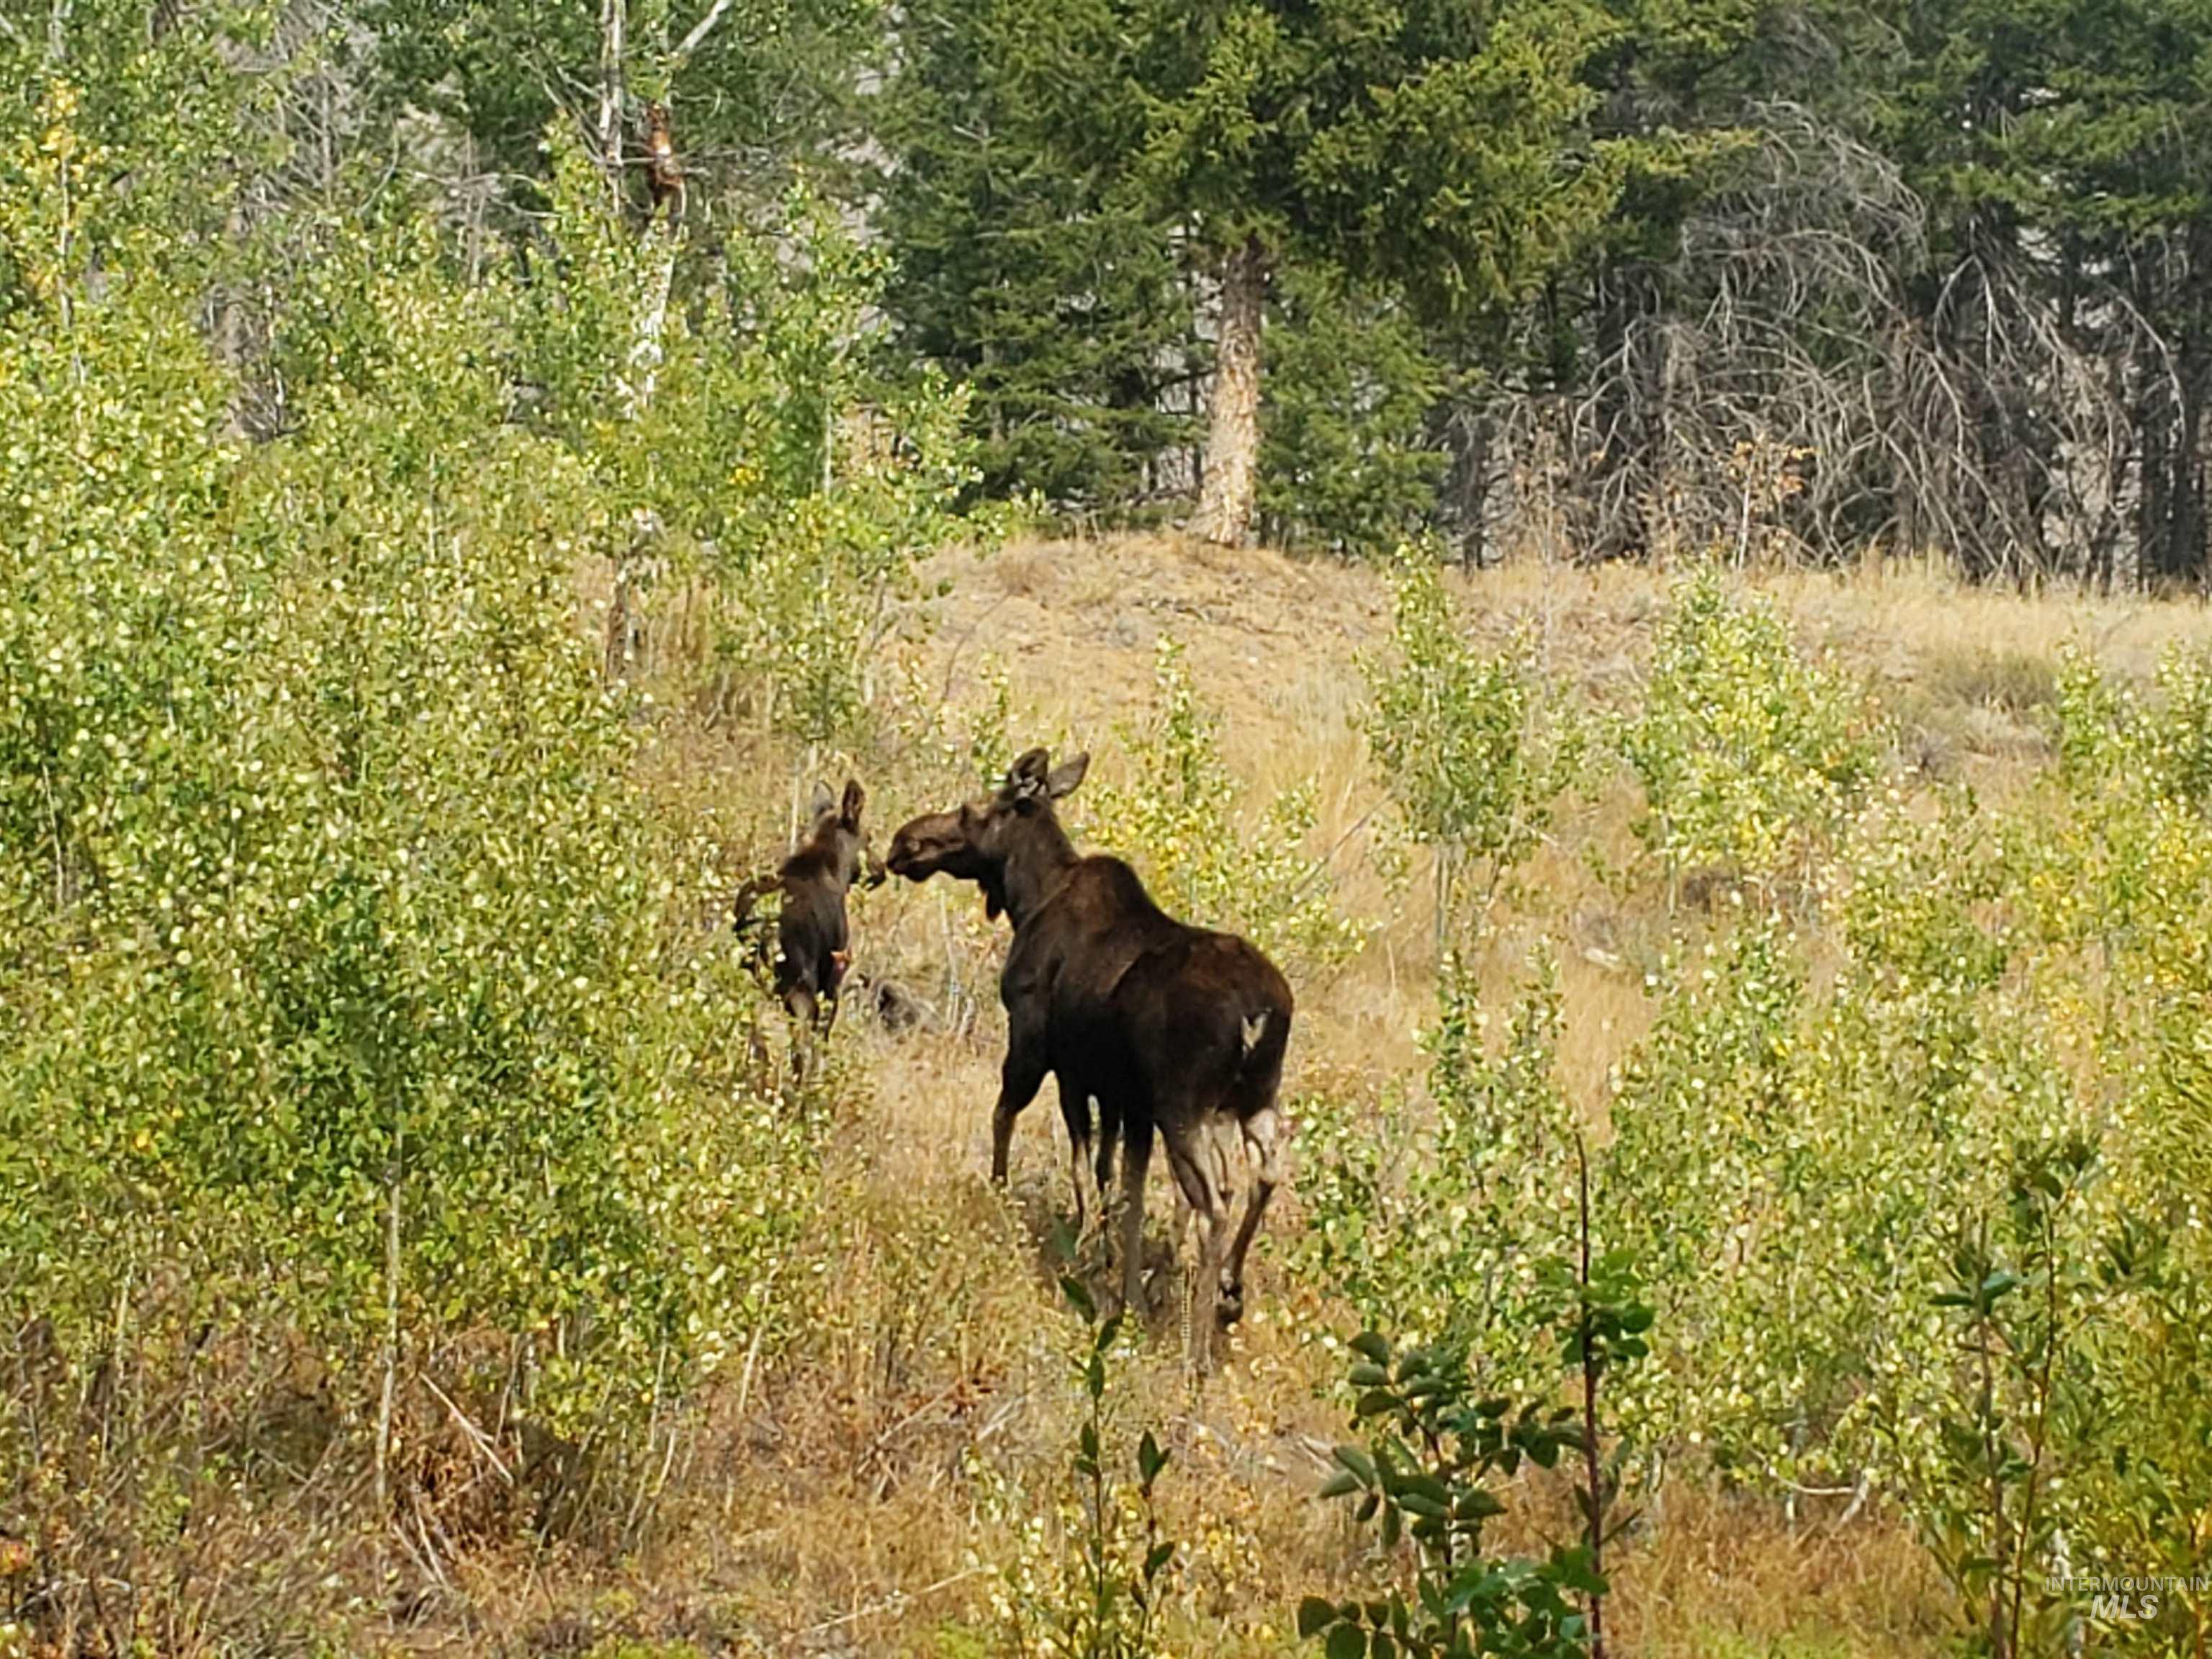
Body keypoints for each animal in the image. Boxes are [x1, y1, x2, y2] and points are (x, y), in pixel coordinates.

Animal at [733, 779, 878, 1087]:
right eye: (869, 837)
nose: (880, 869)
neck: (837, 869)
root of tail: (761, 924)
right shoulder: (834, 976)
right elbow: (821, 1039)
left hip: (746, 977)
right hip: (800, 983)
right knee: (799, 1042)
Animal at [883, 747, 1293, 1368]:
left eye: (972, 810)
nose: (904, 842)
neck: (1027, 899)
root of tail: (1261, 1013)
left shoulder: (1045, 1055)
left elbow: (1028, 1130)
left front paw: (1028, 1212)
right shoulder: (1126, 1098)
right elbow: (1121, 1182)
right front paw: (1119, 1281)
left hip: (1184, 1106)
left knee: (1213, 1204)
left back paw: (1195, 1349)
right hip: (1252, 1100)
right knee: (1264, 1175)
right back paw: (1227, 1293)